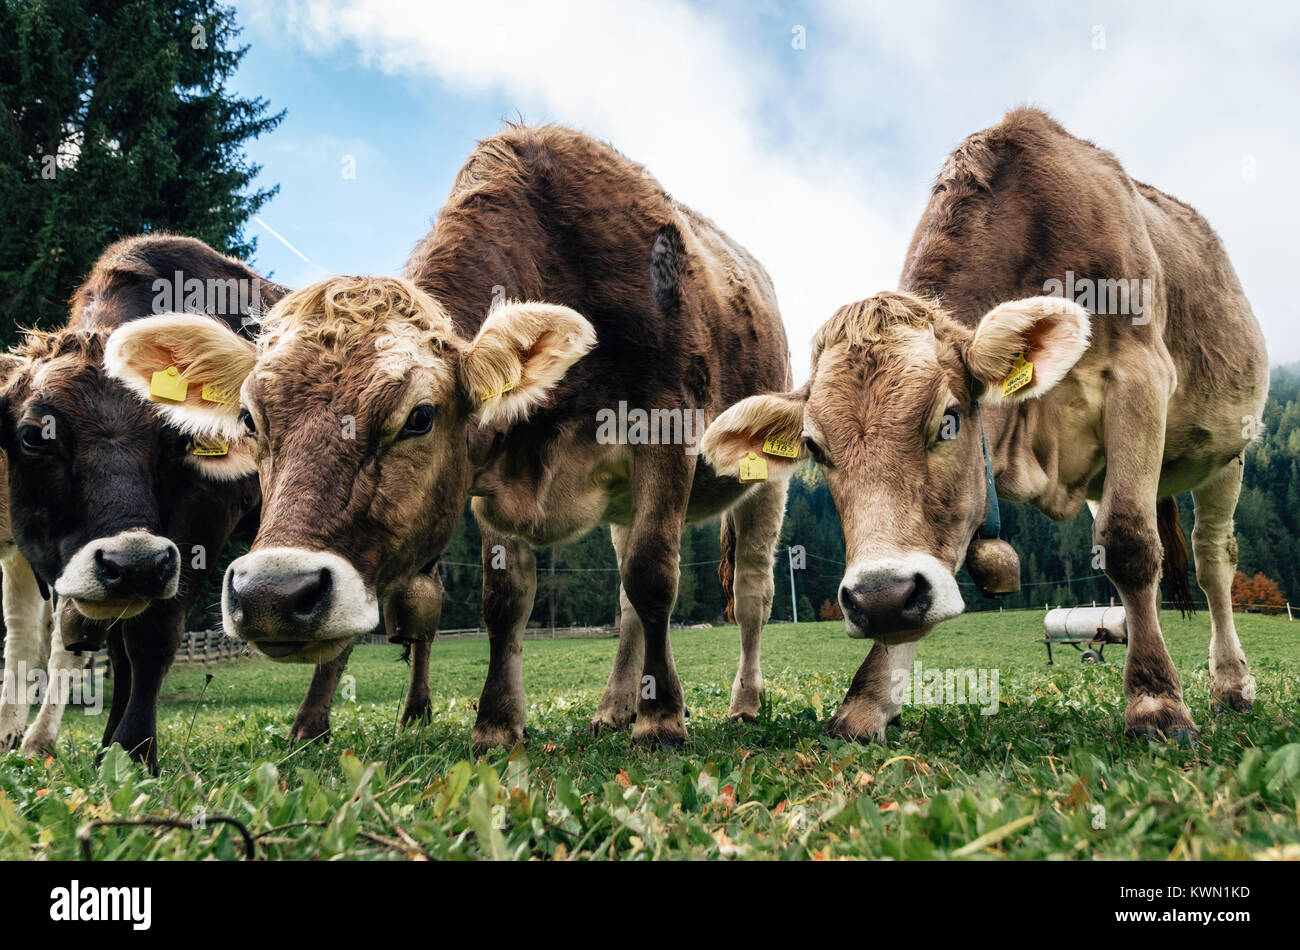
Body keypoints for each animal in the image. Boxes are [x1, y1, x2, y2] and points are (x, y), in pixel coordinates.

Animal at [0, 235, 285, 768]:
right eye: (33, 437)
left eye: (178, 437)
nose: (134, 563)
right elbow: (118, 648)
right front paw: (107, 749)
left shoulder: (203, 518)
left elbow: (151, 636)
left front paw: (134, 751)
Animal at [104, 124, 791, 750]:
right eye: (251, 418)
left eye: (419, 417)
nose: (273, 592)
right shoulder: (493, 475)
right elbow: (506, 597)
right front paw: (497, 724)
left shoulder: (666, 433)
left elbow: (654, 577)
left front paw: (664, 720)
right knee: (624, 607)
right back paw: (613, 708)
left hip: (765, 480)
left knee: (750, 592)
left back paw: (743, 705)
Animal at [701, 108, 1266, 743]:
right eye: (816, 449)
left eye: (948, 421)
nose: (879, 597)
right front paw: (868, 700)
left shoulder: (1138, 378)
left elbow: (1129, 543)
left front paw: (1156, 702)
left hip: (1228, 451)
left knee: (1214, 559)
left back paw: (1231, 686)